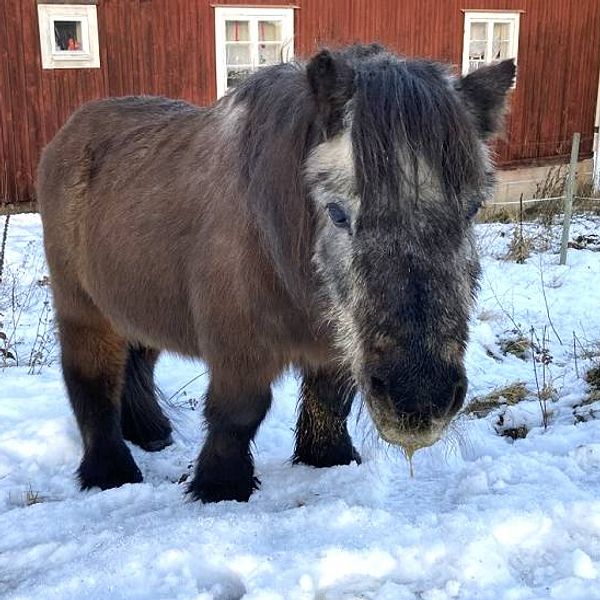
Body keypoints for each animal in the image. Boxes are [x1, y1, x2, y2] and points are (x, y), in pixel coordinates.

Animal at [37, 43, 516, 502]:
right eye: (337, 214)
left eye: (472, 209)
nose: (419, 400)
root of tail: (69, 131)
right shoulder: (237, 346)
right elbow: (239, 412)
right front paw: (221, 487)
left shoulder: (337, 341)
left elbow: (330, 399)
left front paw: (327, 458)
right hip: (83, 309)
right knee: (91, 381)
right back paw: (110, 473)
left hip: (139, 300)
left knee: (138, 361)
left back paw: (150, 433)